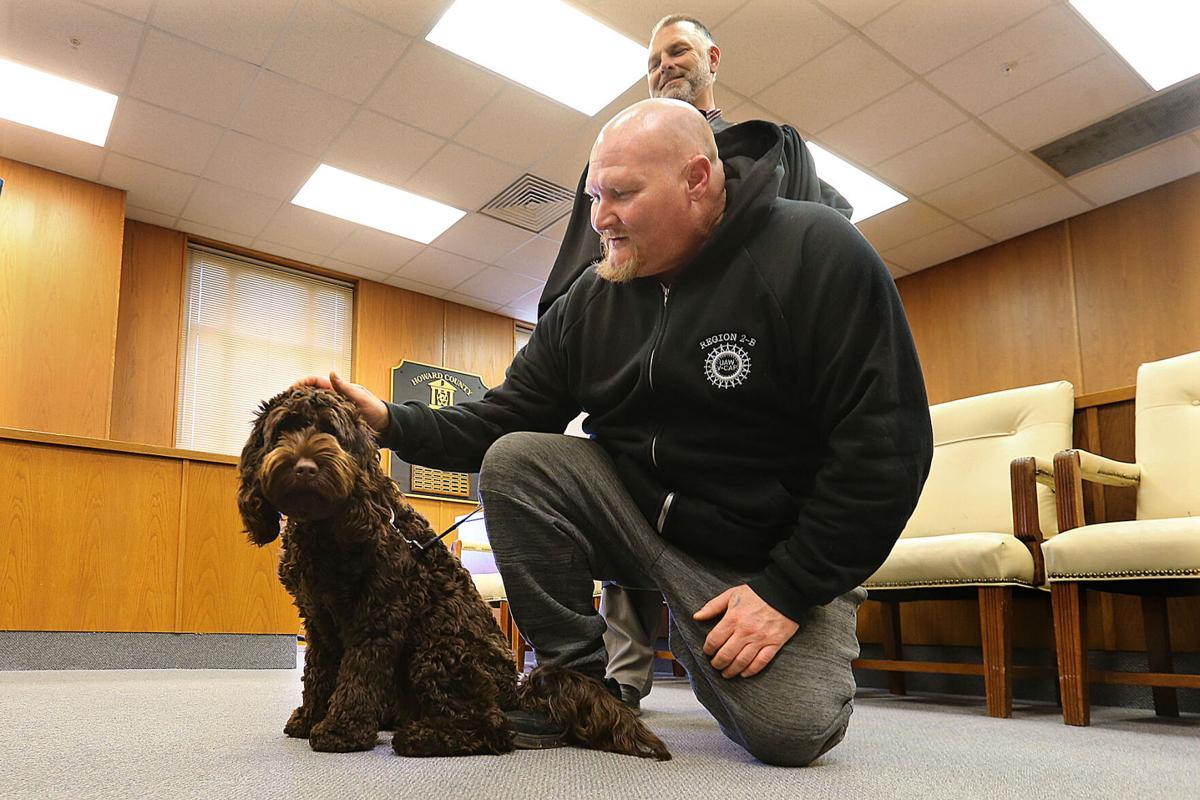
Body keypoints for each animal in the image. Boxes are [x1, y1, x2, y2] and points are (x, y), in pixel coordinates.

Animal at [234, 383, 667, 762]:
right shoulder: (319, 619)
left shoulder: (378, 618)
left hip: (437, 647)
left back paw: (419, 737)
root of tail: (514, 692)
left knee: (492, 728)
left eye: (331, 431)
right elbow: (318, 671)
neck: (326, 527)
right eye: (283, 430)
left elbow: (358, 674)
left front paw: (342, 729)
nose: (304, 468)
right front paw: (310, 718)